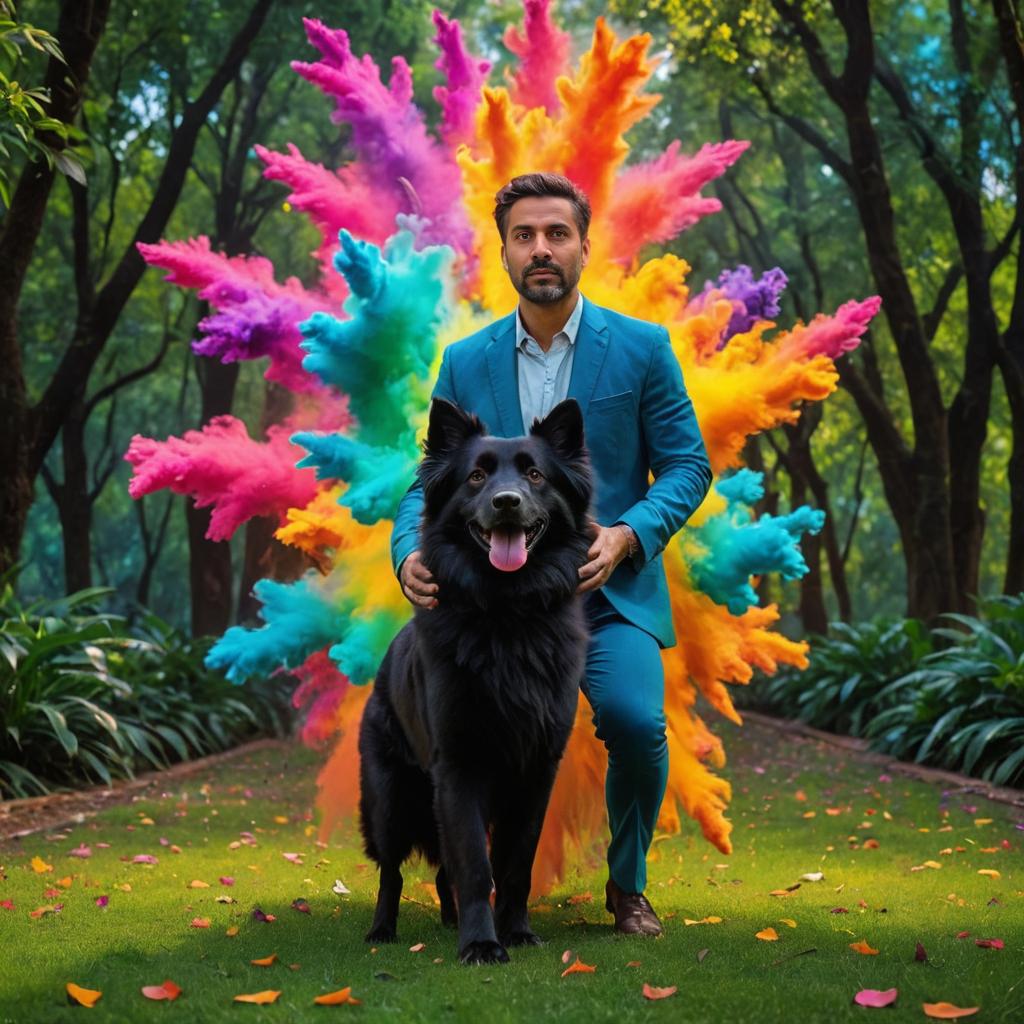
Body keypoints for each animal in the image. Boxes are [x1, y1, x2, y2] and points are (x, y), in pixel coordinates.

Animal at [362, 395, 593, 962]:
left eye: (534, 474)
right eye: (476, 477)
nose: (507, 502)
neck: (507, 617)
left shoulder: (536, 772)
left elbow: (514, 866)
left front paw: (515, 931)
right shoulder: (460, 767)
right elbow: (472, 863)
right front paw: (482, 943)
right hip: (390, 802)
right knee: (392, 872)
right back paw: (383, 930)